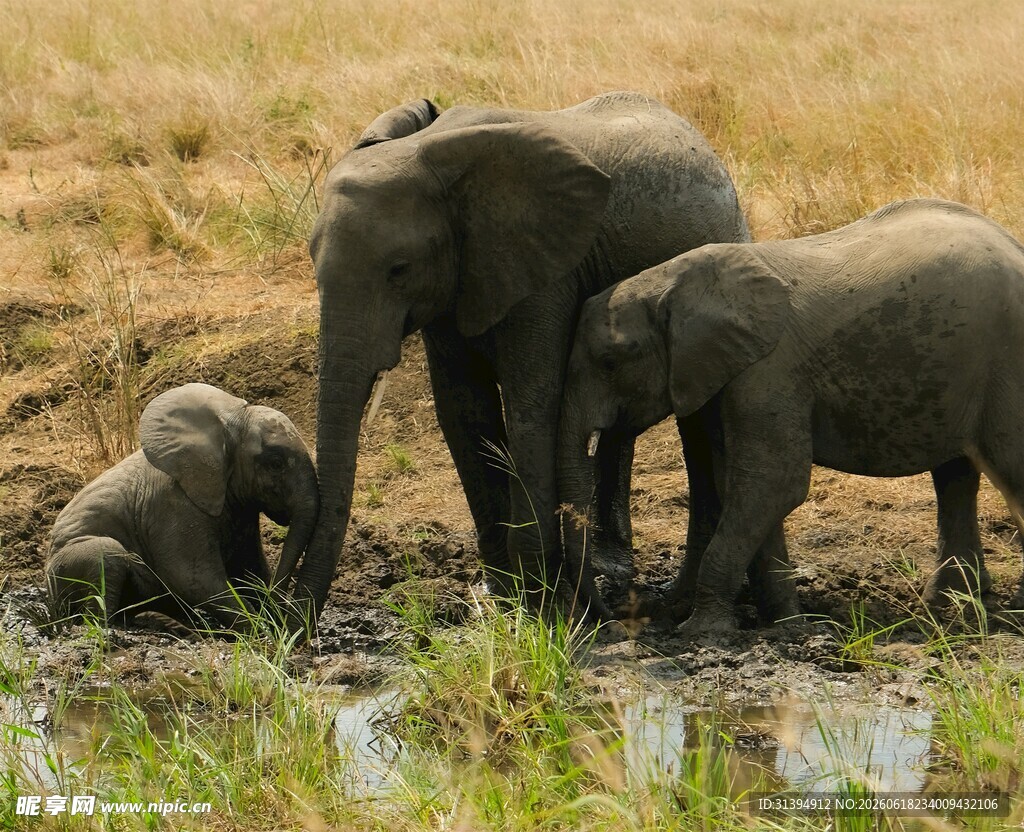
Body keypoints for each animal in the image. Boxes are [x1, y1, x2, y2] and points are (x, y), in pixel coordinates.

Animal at [46, 383, 319, 631]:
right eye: (275, 464)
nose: (282, 614)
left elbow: (249, 569)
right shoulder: (172, 505)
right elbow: (194, 580)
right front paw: (263, 633)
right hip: (67, 567)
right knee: (107, 554)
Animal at [292, 91, 751, 622]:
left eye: (399, 269)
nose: (291, 620)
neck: (430, 151)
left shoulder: (546, 270)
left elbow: (531, 405)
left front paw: (540, 604)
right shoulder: (458, 281)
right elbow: (464, 413)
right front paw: (501, 597)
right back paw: (609, 568)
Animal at [559, 198, 1024, 637]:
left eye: (609, 363)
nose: (616, 622)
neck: (671, 281)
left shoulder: (769, 373)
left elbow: (771, 484)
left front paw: (702, 633)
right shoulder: (731, 376)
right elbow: (743, 486)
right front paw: (787, 626)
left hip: (1005, 361)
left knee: (1005, 466)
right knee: (955, 478)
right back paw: (947, 607)